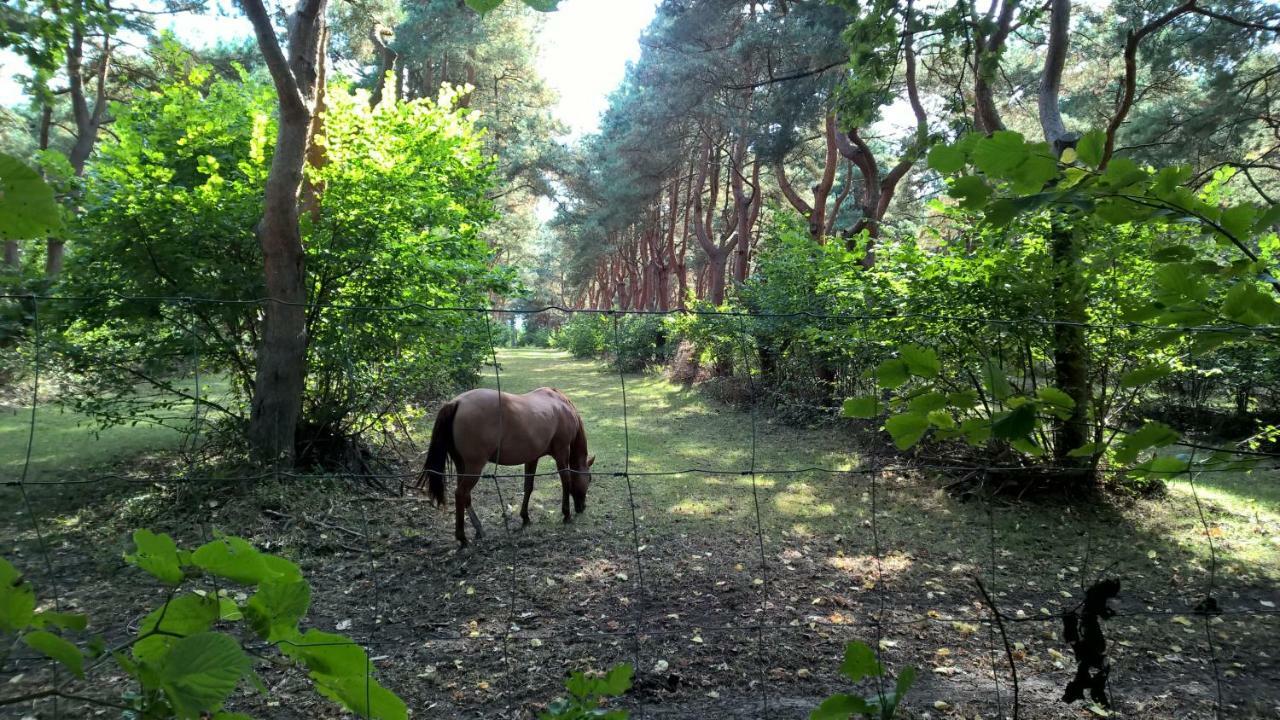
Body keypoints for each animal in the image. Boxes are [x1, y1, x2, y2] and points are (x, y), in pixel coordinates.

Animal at [419, 386, 599, 543]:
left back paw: (478, 529)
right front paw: (566, 514)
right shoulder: (562, 452)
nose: (582, 507)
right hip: (474, 467)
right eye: (589, 479)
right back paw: (462, 537)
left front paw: (525, 517)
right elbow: (566, 481)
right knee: (461, 494)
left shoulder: (532, 458)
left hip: (462, 466)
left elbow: (528, 487)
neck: (561, 405)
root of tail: (456, 403)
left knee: (465, 497)